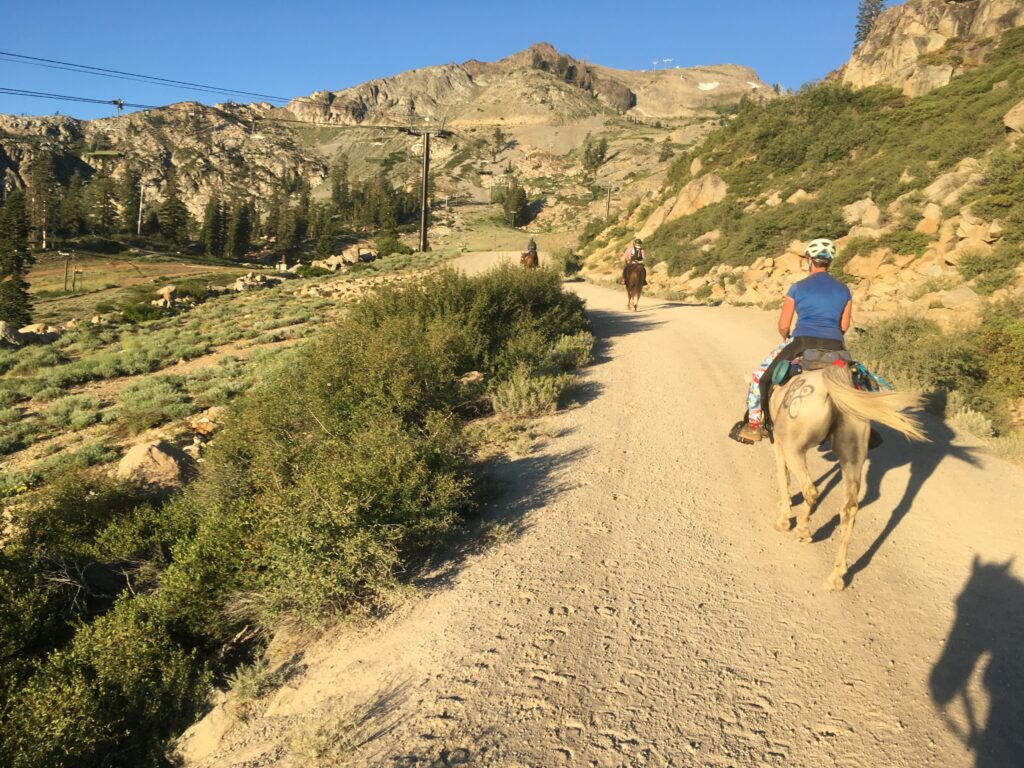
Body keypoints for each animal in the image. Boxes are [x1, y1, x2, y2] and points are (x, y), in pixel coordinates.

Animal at [770, 364, 929, 593]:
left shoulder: (777, 440)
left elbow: (783, 475)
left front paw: (784, 517)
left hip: (792, 444)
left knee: (811, 490)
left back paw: (802, 530)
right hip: (853, 452)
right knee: (850, 508)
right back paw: (836, 576)